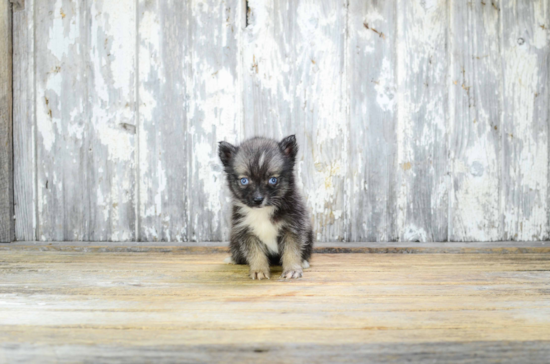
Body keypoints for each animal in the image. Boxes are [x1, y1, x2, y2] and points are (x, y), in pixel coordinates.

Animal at [220, 135, 314, 280]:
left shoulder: (293, 227)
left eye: (273, 180)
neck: (262, 211)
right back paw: (233, 259)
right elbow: (255, 253)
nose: (258, 200)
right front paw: (259, 270)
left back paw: (303, 262)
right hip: (234, 239)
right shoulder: (245, 231)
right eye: (244, 181)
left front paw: (292, 268)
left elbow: (291, 250)